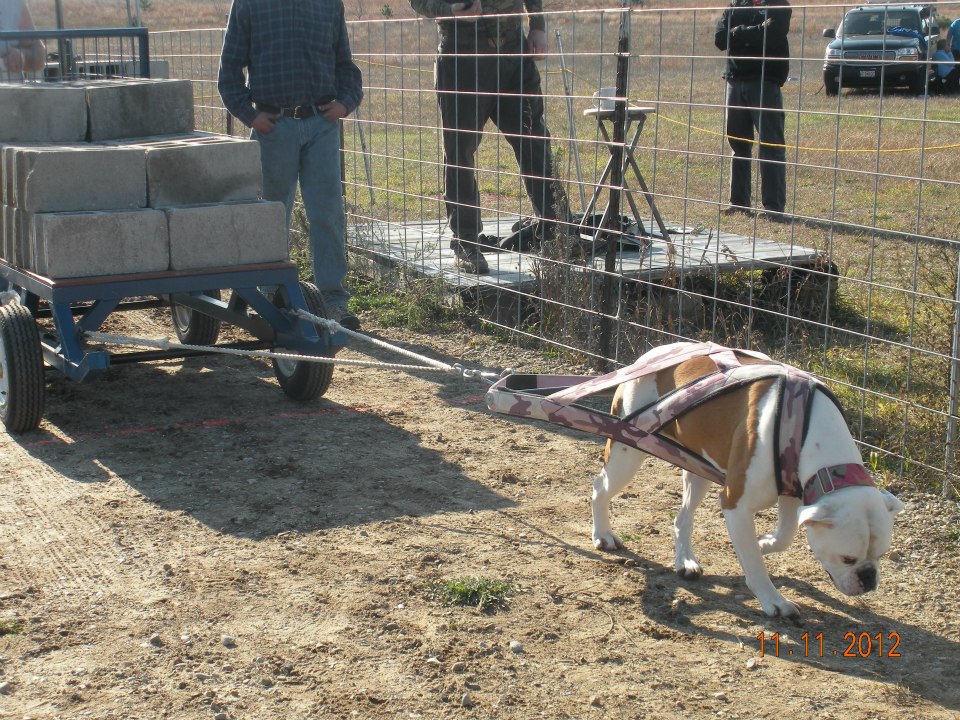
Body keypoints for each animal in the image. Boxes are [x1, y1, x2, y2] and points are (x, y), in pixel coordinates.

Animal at [592, 344, 908, 620]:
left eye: (881, 554)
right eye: (847, 558)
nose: (868, 579)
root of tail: (649, 356)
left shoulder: (793, 492)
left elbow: (786, 534)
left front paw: (765, 543)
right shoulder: (736, 504)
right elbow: (754, 564)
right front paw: (773, 600)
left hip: (696, 469)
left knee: (682, 517)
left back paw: (686, 560)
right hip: (628, 453)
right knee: (600, 488)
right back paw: (603, 534)